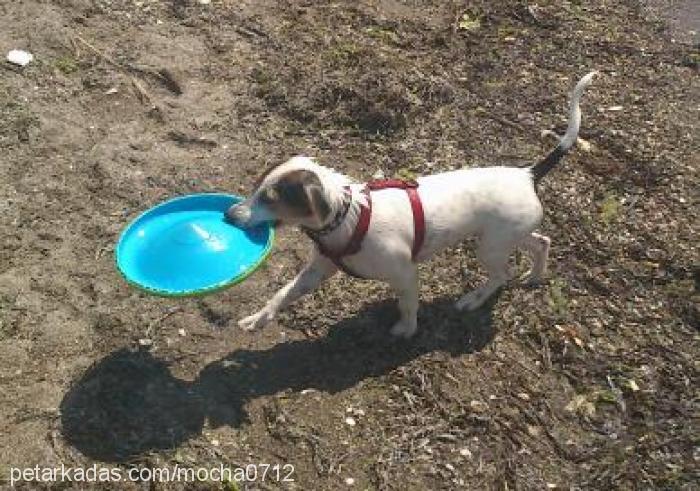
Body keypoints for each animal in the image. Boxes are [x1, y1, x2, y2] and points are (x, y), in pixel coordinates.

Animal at [226, 71, 596, 338]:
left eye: (269, 199)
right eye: (255, 188)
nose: (229, 215)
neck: (349, 217)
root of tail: (528, 175)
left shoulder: (405, 274)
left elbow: (407, 306)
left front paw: (406, 330)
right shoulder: (316, 271)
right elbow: (283, 294)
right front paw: (259, 318)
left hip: (490, 248)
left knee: (501, 276)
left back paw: (473, 299)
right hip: (507, 236)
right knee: (541, 243)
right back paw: (534, 275)